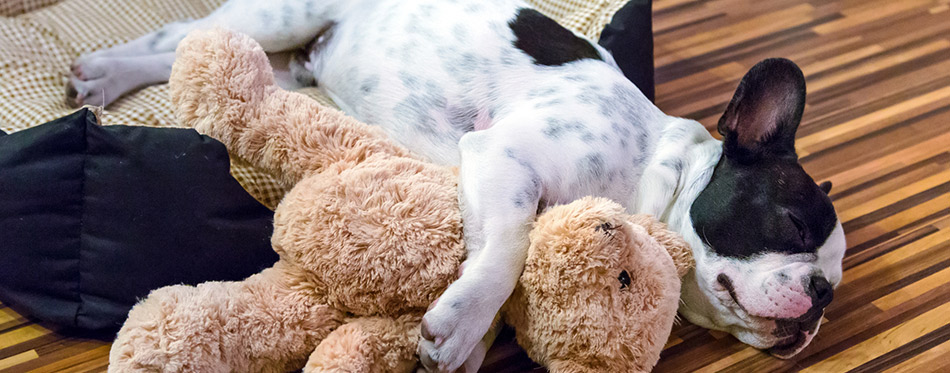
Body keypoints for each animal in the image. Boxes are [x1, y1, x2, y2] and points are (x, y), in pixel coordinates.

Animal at [67, 0, 848, 370]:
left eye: (834, 282)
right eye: (793, 224)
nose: (819, 299)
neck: (654, 166)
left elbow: (489, 251)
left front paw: (467, 339)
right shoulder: (505, 154)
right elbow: (510, 244)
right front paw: (466, 320)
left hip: (291, 63)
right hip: (281, 13)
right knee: (177, 35)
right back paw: (103, 72)